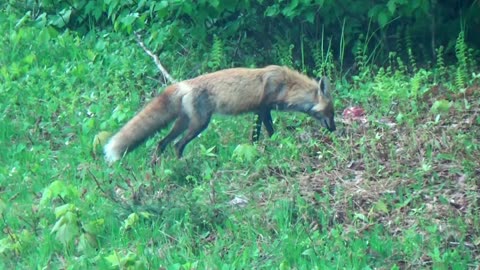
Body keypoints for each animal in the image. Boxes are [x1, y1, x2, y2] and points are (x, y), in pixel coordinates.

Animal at [104, 65, 338, 162]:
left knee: (162, 143)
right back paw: (182, 164)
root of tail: (183, 84)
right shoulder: (264, 109)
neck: (286, 86)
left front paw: (256, 150)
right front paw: (276, 146)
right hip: (199, 124)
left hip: (183, 123)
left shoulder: (258, 111)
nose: (335, 130)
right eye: (332, 113)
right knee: (176, 145)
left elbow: (255, 136)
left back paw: (158, 168)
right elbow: (269, 132)